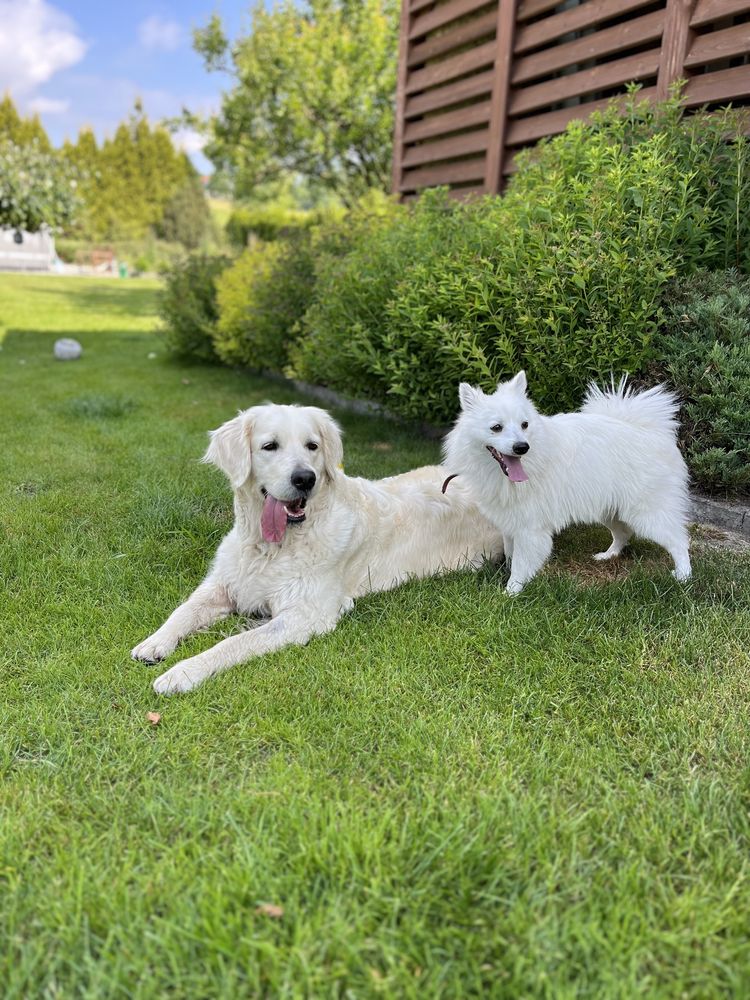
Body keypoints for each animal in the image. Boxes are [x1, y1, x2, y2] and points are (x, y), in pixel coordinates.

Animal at [444, 374, 696, 592]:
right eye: (496, 427)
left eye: (525, 425)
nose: (522, 447)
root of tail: (650, 430)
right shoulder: (510, 522)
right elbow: (510, 555)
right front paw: (506, 577)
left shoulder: (530, 529)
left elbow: (520, 565)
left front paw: (511, 592)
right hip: (609, 509)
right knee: (623, 533)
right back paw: (608, 555)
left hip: (648, 513)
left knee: (678, 541)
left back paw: (684, 576)